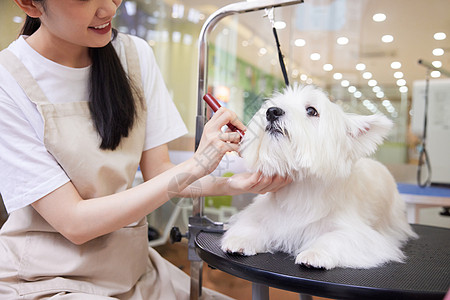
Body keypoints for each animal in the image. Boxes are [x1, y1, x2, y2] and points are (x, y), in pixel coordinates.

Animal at [220, 84, 416, 270]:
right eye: (272, 105)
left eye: (311, 111)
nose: (272, 112)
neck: (301, 186)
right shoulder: (263, 214)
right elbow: (251, 223)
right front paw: (239, 239)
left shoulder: (362, 235)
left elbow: (336, 238)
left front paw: (315, 253)